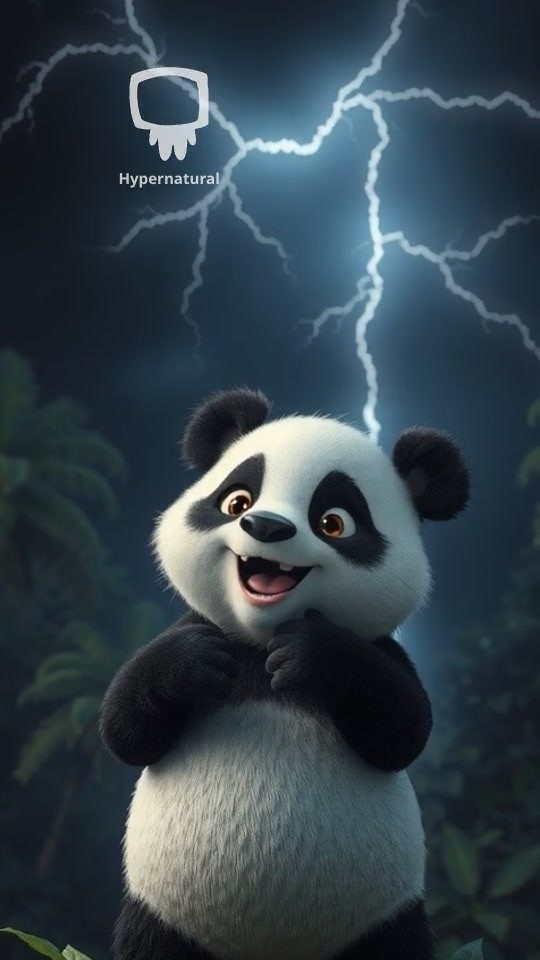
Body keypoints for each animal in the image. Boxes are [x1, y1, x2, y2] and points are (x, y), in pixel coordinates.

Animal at [100, 387, 470, 960]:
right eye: (237, 502)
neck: (258, 641)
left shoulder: (384, 650)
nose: (267, 527)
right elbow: (125, 732)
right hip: (163, 913)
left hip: (383, 917)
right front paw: (195, 659)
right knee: (151, 944)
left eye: (334, 522)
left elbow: (404, 731)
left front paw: (309, 653)